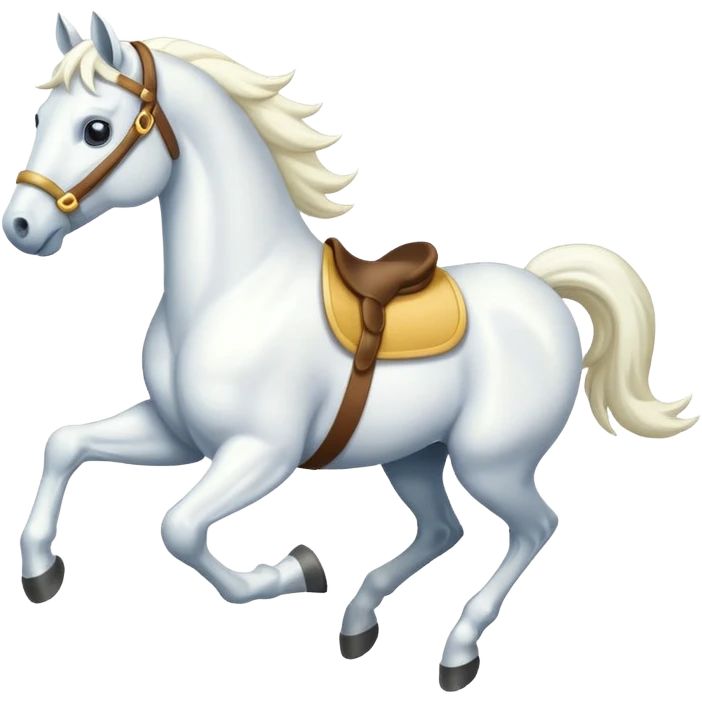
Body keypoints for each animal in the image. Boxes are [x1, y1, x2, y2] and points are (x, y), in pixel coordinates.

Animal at [4, 11, 698, 693]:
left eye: (96, 129)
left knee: (535, 527)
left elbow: (179, 528)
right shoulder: (177, 435)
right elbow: (65, 443)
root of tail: (543, 290)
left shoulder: (262, 453)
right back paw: (360, 622)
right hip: (415, 454)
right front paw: (40, 571)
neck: (238, 286)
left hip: (491, 462)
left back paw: (456, 653)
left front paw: (298, 568)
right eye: (42, 116)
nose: (20, 227)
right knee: (444, 527)